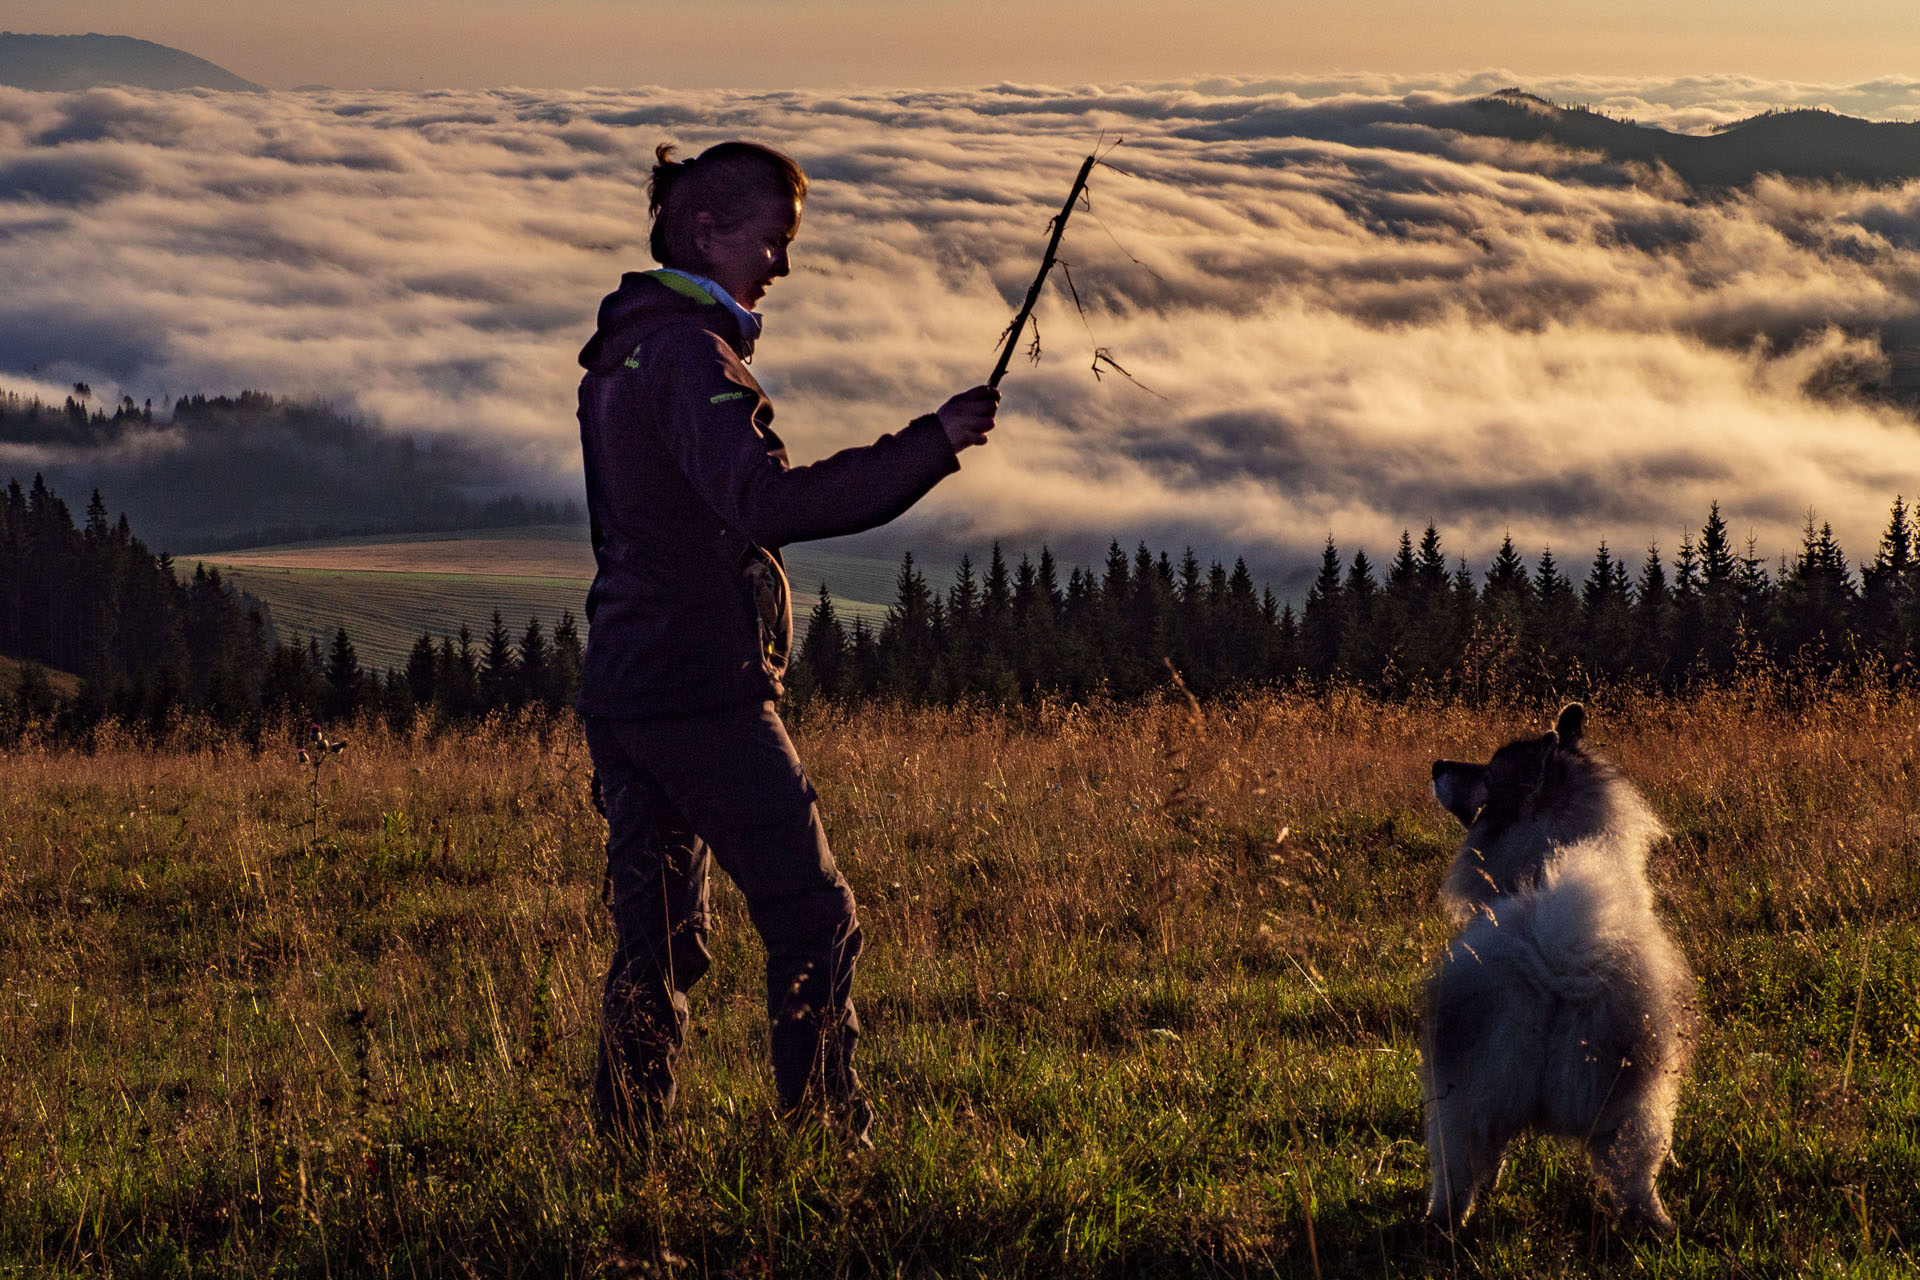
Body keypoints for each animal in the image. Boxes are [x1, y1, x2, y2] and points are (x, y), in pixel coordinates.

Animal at [1428, 706, 1697, 1235]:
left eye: (1487, 772)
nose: (1436, 765)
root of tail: (1559, 963)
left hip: (1459, 1101)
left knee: (1456, 1174)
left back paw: (1440, 1222)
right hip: (1635, 1106)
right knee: (1635, 1178)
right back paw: (1656, 1226)